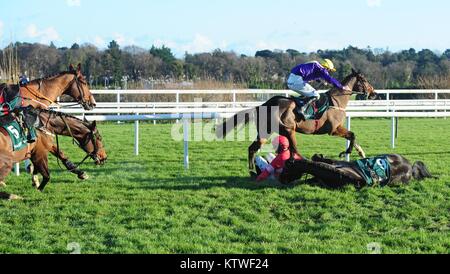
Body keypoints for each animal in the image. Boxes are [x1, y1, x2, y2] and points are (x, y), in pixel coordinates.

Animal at [216, 69, 378, 171]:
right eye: (364, 80)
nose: (374, 93)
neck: (336, 101)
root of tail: (261, 105)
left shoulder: (338, 129)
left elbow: (353, 137)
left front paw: (360, 153)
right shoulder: (333, 129)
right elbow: (352, 135)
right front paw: (345, 152)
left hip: (265, 132)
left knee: (252, 148)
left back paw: (251, 169)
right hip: (288, 129)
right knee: (294, 150)